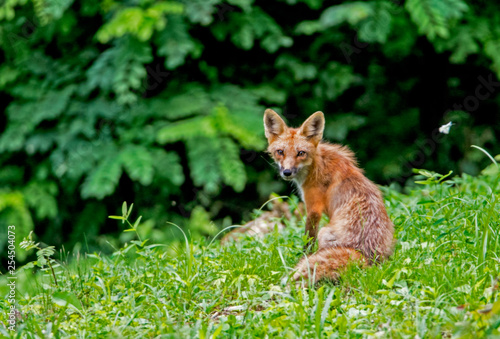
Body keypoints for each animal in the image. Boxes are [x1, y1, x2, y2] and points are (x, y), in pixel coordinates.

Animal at [264, 109, 392, 284]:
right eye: (280, 152)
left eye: (300, 153)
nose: (287, 172)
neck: (316, 164)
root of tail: (365, 254)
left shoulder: (313, 208)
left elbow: (308, 241)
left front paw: (303, 256)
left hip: (324, 232)